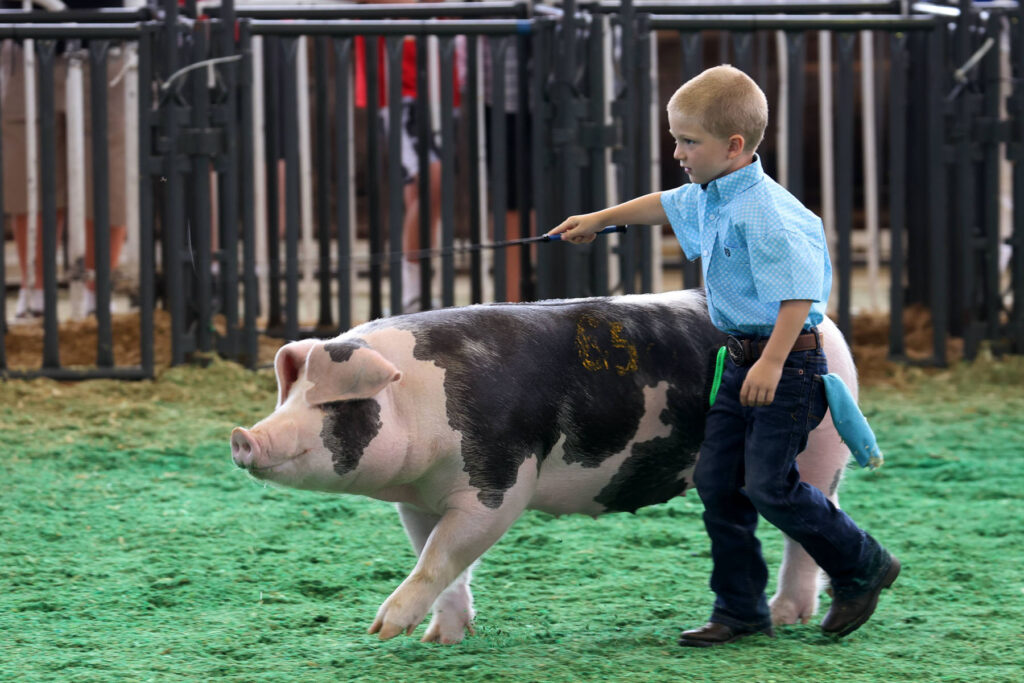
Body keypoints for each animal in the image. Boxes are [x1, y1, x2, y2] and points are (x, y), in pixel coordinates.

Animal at [230, 290, 856, 643]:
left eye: (331, 404)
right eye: (289, 397)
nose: (243, 436)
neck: (420, 401)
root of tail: (829, 327)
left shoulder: (498, 483)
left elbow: (442, 556)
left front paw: (382, 631)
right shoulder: (418, 498)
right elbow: (439, 560)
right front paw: (441, 641)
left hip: (815, 447)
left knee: (804, 528)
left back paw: (792, 618)